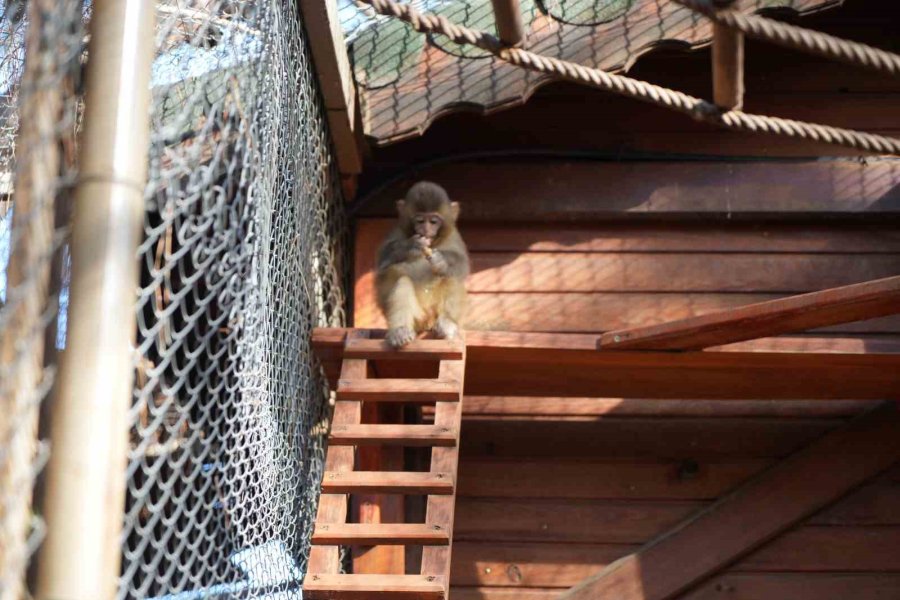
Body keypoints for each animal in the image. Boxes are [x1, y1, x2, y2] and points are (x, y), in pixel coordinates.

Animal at [374, 179, 472, 346]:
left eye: (433, 221)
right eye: (420, 220)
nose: (425, 230)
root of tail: (427, 322)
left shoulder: (453, 236)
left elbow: (461, 264)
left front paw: (441, 260)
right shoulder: (397, 231)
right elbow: (383, 263)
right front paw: (412, 246)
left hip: (434, 313)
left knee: (450, 276)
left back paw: (447, 323)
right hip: (418, 318)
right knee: (402, 282)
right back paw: (400, 330)